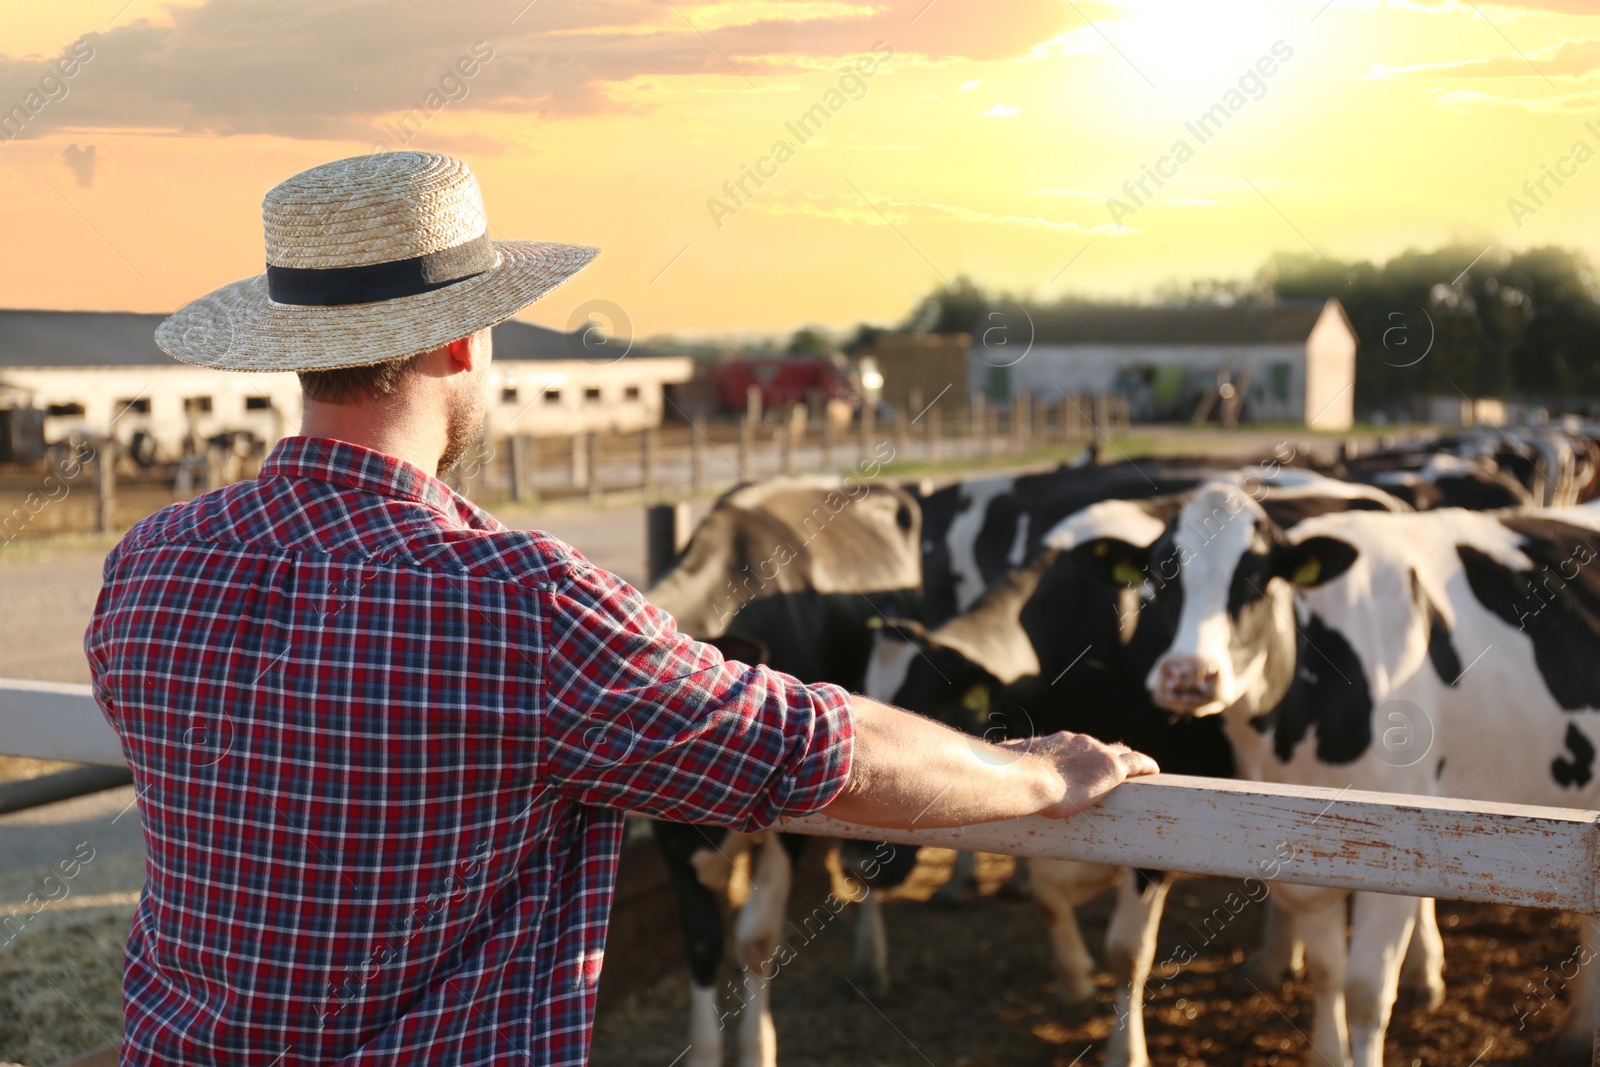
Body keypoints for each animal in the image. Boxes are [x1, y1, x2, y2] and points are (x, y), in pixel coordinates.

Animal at [870, 476, 1408, 1067]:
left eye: (930, 715)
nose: (861, 861)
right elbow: (1046, 897)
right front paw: (1074, 986)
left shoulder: (1158, 824)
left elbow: (1126, 952)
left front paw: (1123, 1051)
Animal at [1062, 489, 1600, 1067]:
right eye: (1162, 574)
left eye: (1257, 576)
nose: (1187, 675)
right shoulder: (1311, 851)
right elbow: (1326, 971)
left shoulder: (1399, 849)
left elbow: (1366, 991)